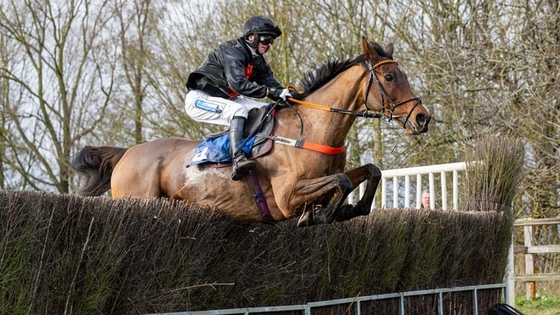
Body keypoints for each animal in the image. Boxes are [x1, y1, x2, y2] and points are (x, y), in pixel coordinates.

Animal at [72, 37, 430, 227]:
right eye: (389, 78)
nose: (422, 118)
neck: (312, 130)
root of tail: (127, 153)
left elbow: (371, 170)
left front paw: (352, 208)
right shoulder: (287, 197)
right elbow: (341, 182)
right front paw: (320, 215)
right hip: (137, 198)